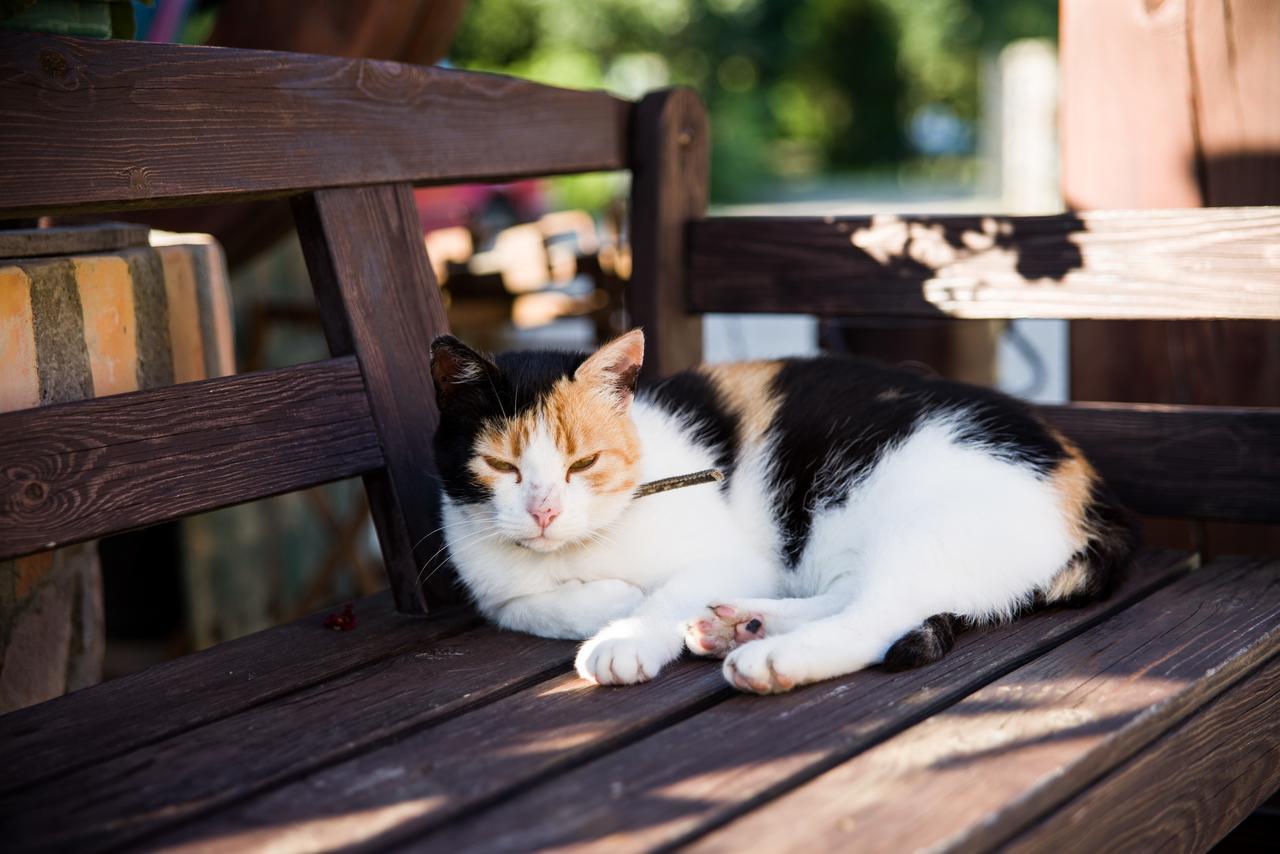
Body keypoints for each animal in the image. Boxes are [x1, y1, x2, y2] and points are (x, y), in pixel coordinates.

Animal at [430, 327, 1131, 696]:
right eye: (501, 467)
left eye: (584, 463)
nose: (544, 511)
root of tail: (1087, 482)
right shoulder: (491, 582)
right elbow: (518, 606)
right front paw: (607, 600)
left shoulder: (737, 556)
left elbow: (663, 593)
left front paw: (623, 633)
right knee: (852, 594)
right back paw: (743, 626)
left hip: (932, 523)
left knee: (876, 616)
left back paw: (769, 659)